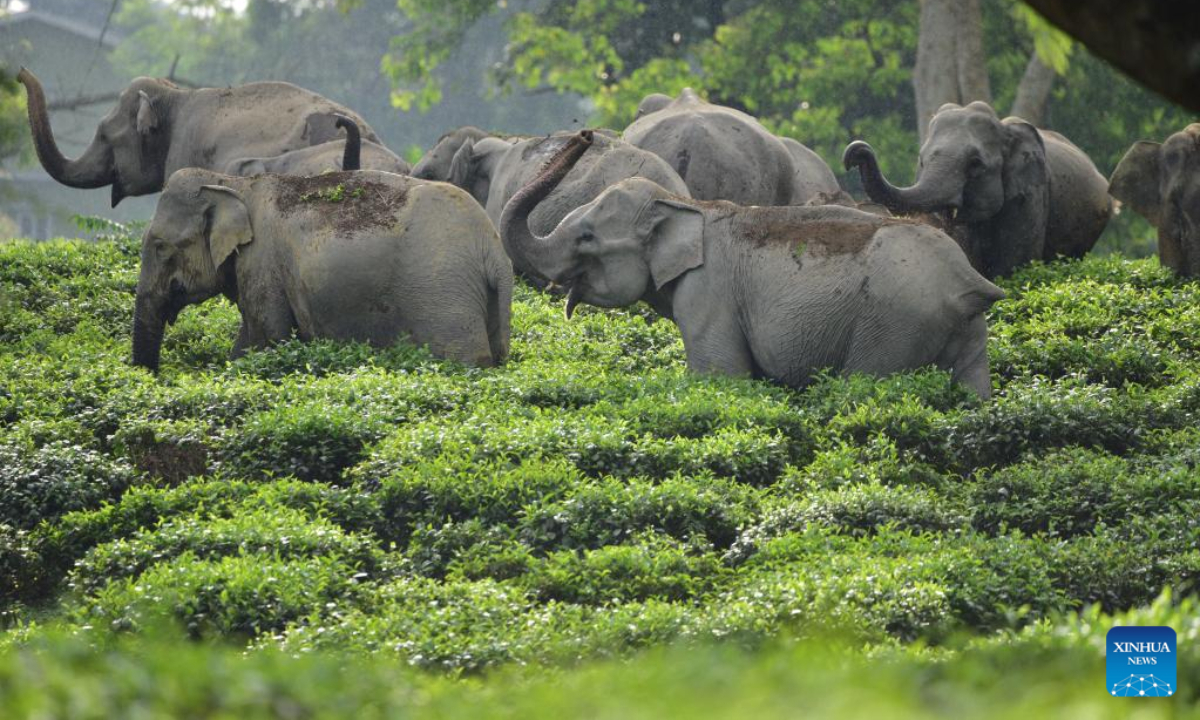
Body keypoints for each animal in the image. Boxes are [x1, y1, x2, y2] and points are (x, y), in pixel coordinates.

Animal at [132, 168, 511, 371]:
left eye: (160, 246)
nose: (152, 377)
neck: (235, 183)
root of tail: (493, 250)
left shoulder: (263, 261)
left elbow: (267, 338)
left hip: (443, 293)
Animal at [501, 131, 1004, 398]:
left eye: (587, 236)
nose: (584, 135)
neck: (688, 205)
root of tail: (969, 280)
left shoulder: (708, 294)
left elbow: (721, 375)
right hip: (965, 332)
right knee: (972, 388)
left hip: (892, 325)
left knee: (865, 384)